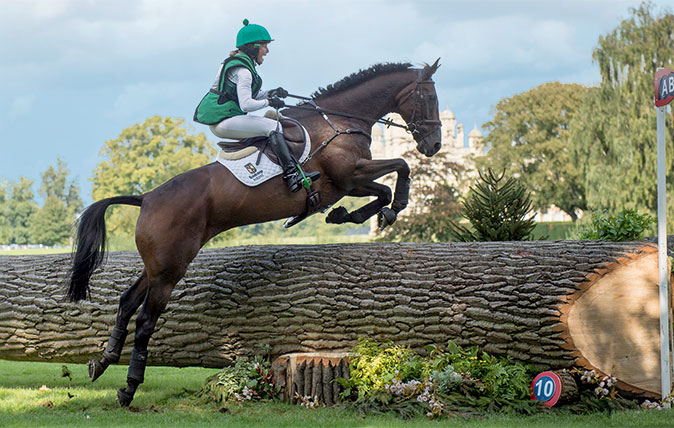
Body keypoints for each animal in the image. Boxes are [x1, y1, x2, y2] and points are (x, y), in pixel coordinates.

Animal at [67, 59, 440, 404]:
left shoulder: (349, 183)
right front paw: (386, 209)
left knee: (127, 302)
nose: (433, 145)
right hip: (171, 268)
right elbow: (399, 170)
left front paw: (347, 215)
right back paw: (129, 387)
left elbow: (385, 188)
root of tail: (146, 198)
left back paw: (103, 361)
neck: (339, 122)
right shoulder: (350, 176)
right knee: (145, 320)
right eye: (429, 98)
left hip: (160, 264)